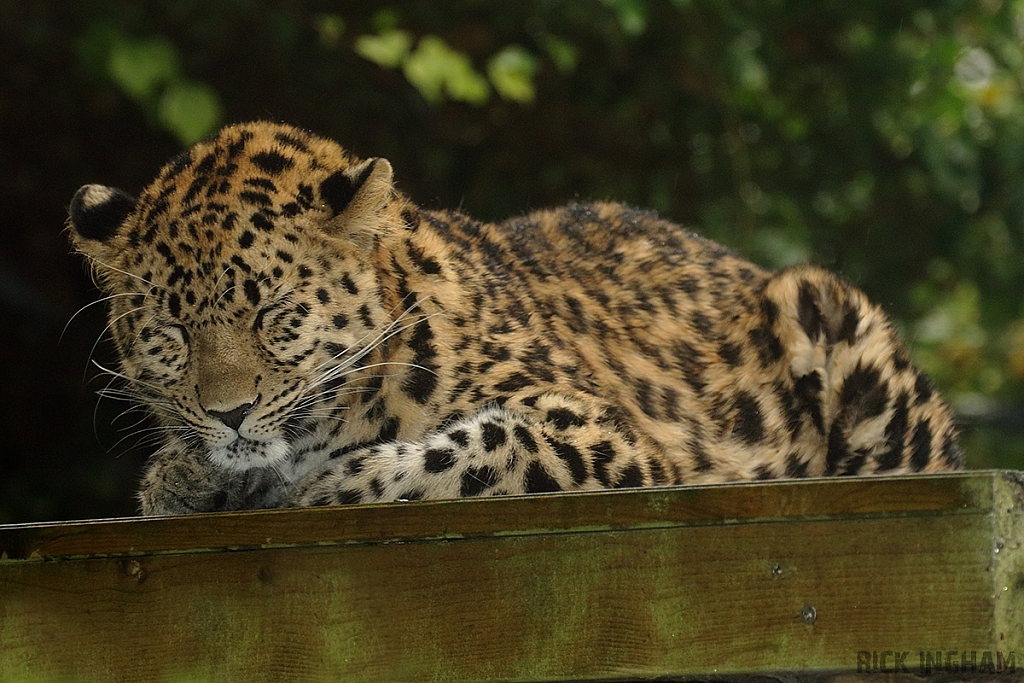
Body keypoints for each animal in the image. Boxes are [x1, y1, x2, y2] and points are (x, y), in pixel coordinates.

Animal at [68, 124, 962, 518]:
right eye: (171, 332)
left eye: (275, 313)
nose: (229, 412)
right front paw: (184, 478)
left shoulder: (611, 434)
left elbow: (480, 443)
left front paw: (326, 484)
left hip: (829, 309)